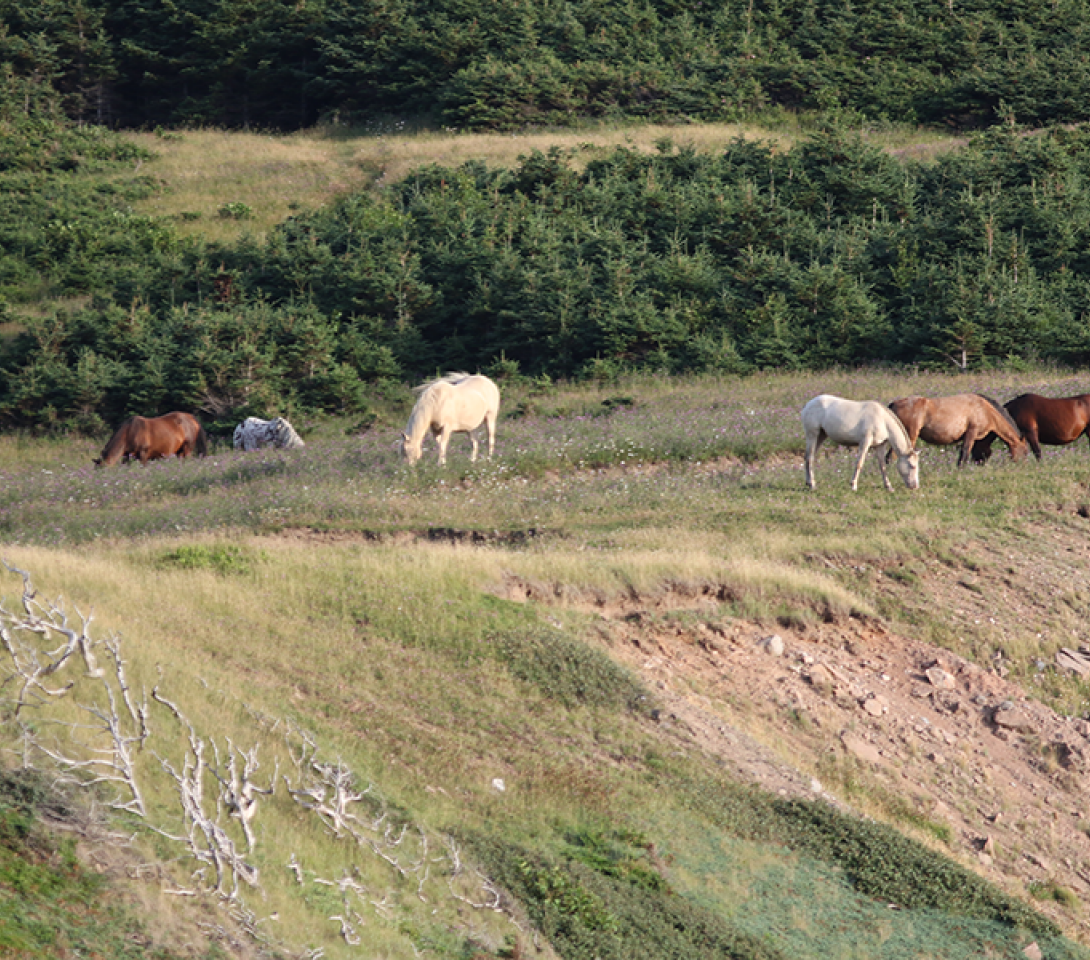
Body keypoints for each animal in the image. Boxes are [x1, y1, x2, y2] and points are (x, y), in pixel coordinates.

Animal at [885, 390, 1028, 464]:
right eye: (1026, 452)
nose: (1022, 466)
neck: (985, 410)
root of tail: (894, 404)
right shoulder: (971, 432)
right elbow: (964, 452)